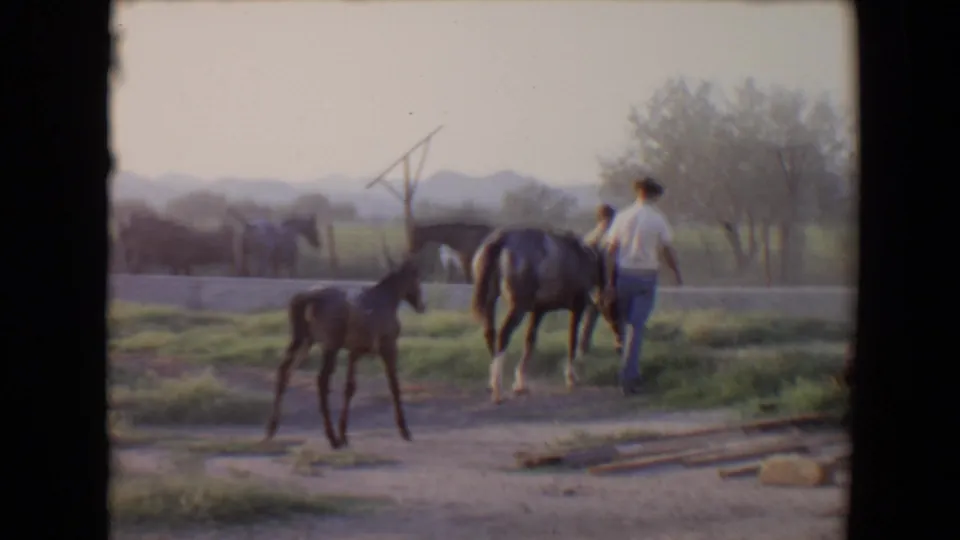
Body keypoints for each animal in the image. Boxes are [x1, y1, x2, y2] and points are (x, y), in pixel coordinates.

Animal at [264, 249, 427, 450]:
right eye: (416, 277)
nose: (421, 305)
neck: (386, 299)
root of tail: (308, 298)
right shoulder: (388, 347)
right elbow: (394, 385)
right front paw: (404, 430)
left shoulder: (353, 352)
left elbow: (349, 388)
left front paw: (344, 434)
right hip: (330, 346)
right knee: (321, 381)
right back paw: (331, 437)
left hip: (302, 341)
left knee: (284, 371)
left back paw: (272, 428)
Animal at [470, 227, 612, 404]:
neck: (585, 257)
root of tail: (503, 239)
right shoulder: (577, 308)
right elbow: (572, 340)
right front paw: (571, 377)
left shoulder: (539, 311)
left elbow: (530, 341)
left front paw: (520, 384)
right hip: (518, 307)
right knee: (503, 335)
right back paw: (498, 391)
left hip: (491, 302)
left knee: (490, 334)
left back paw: (494, 383)